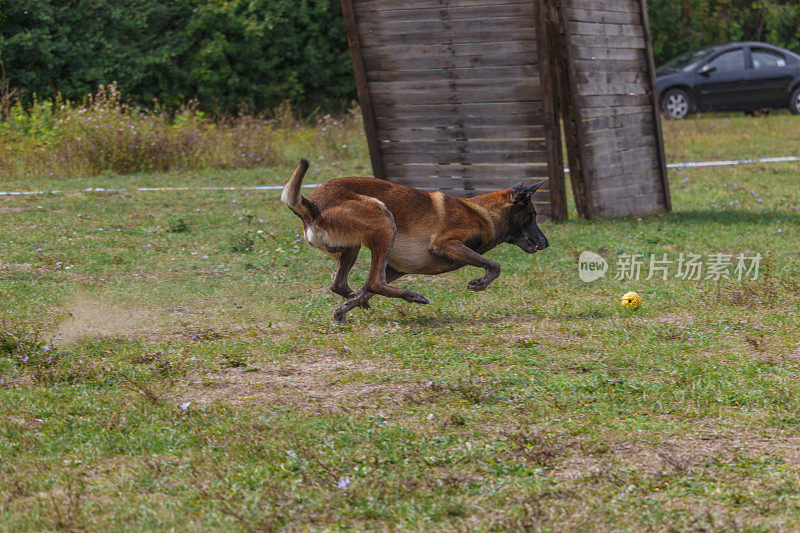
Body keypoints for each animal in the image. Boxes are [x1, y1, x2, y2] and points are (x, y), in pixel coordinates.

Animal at [282, 158, 552, 322]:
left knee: (346, 285)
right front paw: (480, 283)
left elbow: (364, 292)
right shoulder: (445, 244)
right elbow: (495, 265)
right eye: (533, 215)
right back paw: (413, 296)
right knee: (373, 282)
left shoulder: (397, 268)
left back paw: (356, 301)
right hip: (384, 220)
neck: (482, 213)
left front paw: (344, 310)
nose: (546, 243)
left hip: (357, 245)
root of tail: (310, 206)